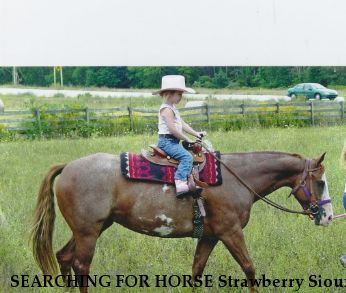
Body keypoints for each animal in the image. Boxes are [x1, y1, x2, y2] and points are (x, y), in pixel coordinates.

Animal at [31, 149, 334, 290]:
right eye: (320, 182)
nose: (329, 216)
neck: (236, 178)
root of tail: (68, 166)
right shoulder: (230, 232)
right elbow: (249, 269)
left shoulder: (210, 236)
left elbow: (196, 271)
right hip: (88, 233)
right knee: (81, 265)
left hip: (91, 229)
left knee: (65, 257)